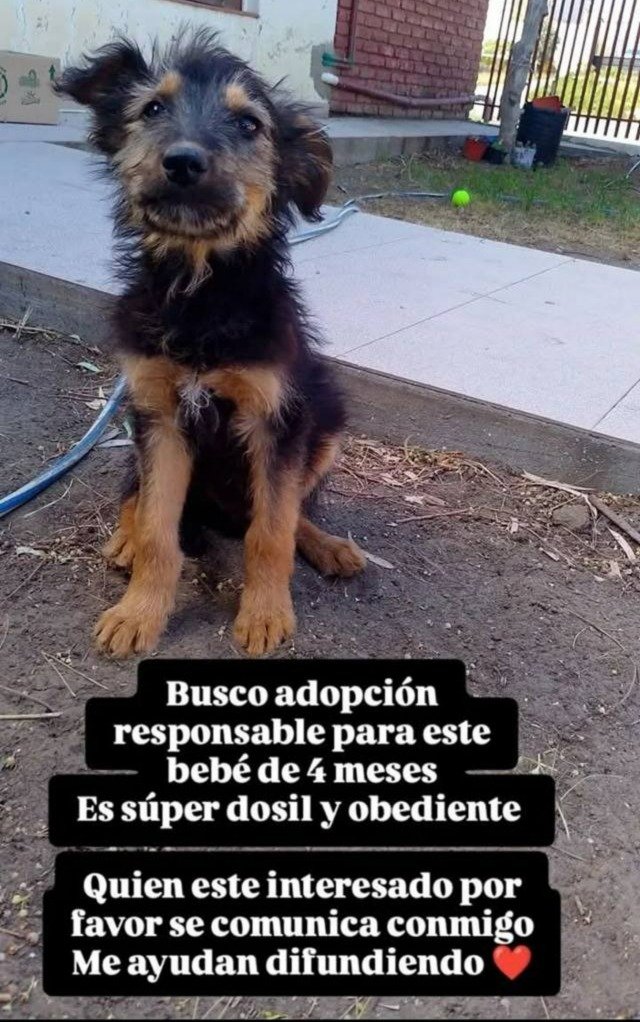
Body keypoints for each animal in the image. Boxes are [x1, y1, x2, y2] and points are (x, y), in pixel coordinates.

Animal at [55, 29, 366, 658]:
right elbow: (158, 530)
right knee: (135, 495)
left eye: (249, 124)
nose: (182, 161)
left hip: (326, 422)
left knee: (289, 513)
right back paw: (124, 538)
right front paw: (139, 612)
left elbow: (271, 532)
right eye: (153, 109)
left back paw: (328, 545)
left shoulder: (278, 418)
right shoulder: (160, 413)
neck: (200, 294)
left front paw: (266, 614)